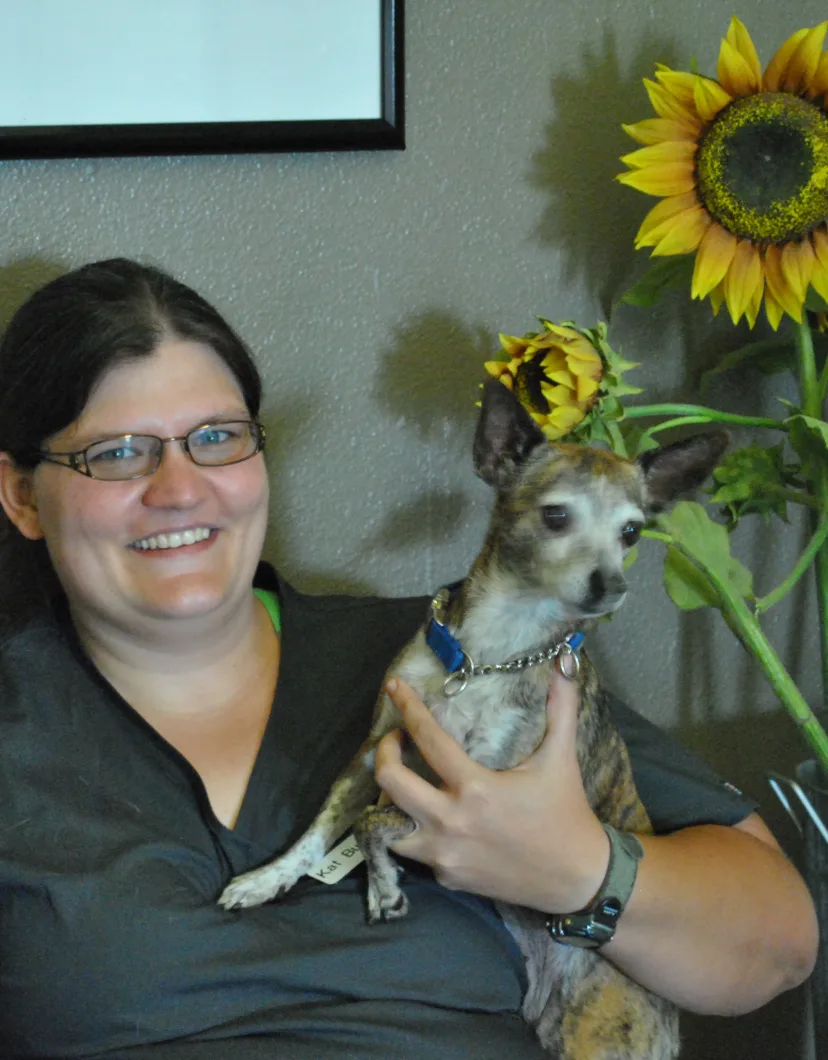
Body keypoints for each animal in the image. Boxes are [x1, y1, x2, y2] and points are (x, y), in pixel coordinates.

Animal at [218, 381, 725, 1060]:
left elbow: (375, 821)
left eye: (632, 532)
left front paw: (383, 885)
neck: (490, 653)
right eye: (556, 516)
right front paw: (267, 879)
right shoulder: (371, 752)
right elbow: (319, 832)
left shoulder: (478, 792)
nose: (610, 587)